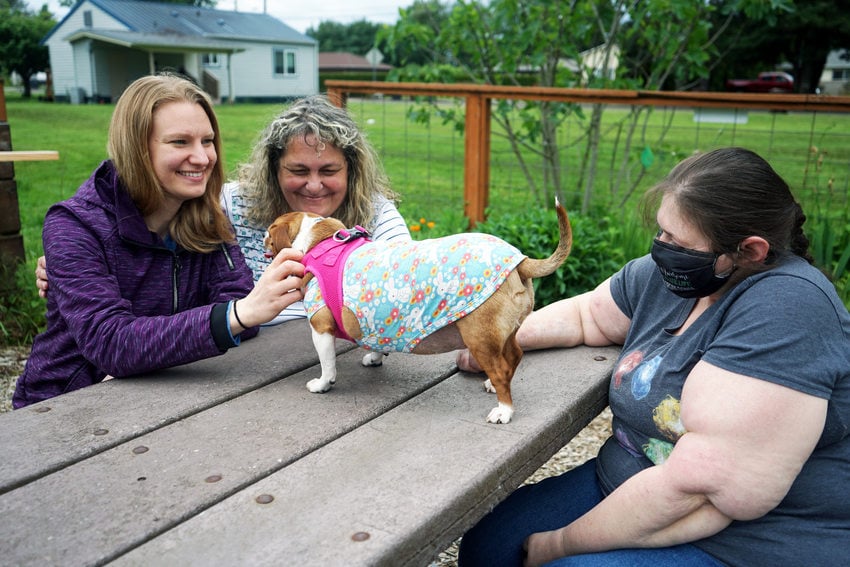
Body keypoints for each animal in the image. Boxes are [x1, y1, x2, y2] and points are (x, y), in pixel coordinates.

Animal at [264, 202, 568, 424]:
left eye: (268, 231)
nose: (264, 241)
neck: (321, 241)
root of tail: (521, 260)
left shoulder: (321, 329)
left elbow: (327, 365)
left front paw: (323, 384)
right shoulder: (374, 321)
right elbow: (376, 339)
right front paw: (375, 357)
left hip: (479, 338)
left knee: (502, 369)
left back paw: (504, 409)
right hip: (505, 333)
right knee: (514, 355)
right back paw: (494, 387)